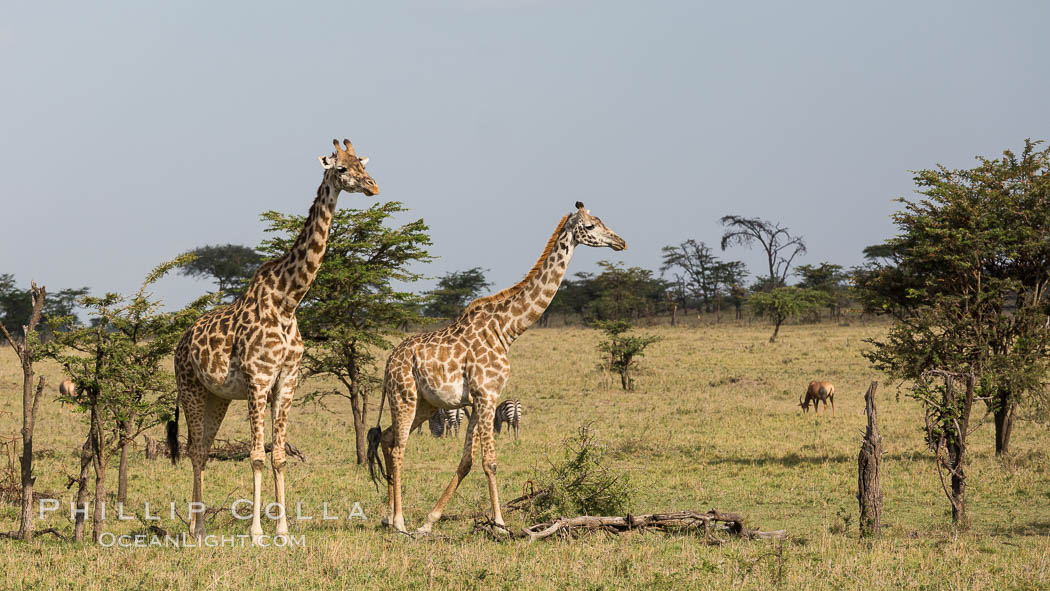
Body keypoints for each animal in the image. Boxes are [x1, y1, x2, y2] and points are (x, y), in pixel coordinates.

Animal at [167, 138, 378, 543]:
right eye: (341, 168)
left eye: (363, 163)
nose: (374, 186)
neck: (288, 300)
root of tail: (181, 341)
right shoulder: (258, 380)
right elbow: (256, 456)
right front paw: (256, 533)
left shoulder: (287, 381)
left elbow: (278, 455)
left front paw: (282, 530)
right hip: (190, 388)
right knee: (194, 450)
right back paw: (197, 529)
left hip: (217, 397)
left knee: (203, 449)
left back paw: (198, 525)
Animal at [367, 202, 626, 534]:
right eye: (591, 226)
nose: (621, 242)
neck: (507, 329)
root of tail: (389, 361)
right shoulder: (486, 395)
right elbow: (489, 461)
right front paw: (500, 524)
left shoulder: (478, 400)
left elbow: (466, 461)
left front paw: (430, 521)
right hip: (405, 397)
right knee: (399, 448)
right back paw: (399, 522)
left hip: (425, 404)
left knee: (387, 439)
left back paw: (388, 516)